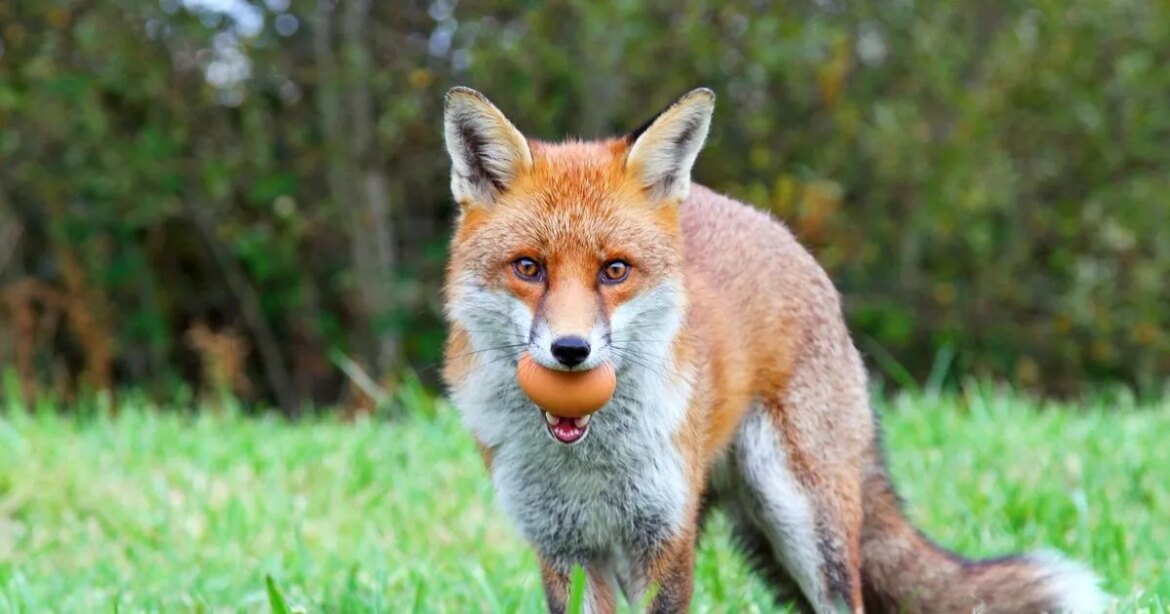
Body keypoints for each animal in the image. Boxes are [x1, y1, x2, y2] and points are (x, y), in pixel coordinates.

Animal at [440, 86, 1107, 613]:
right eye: (529, 268)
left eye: (614, 271)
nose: (571, 350)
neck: (588, 466)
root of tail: (781, 232)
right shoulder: (565, 548)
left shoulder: (663, 537)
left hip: (805, 522)